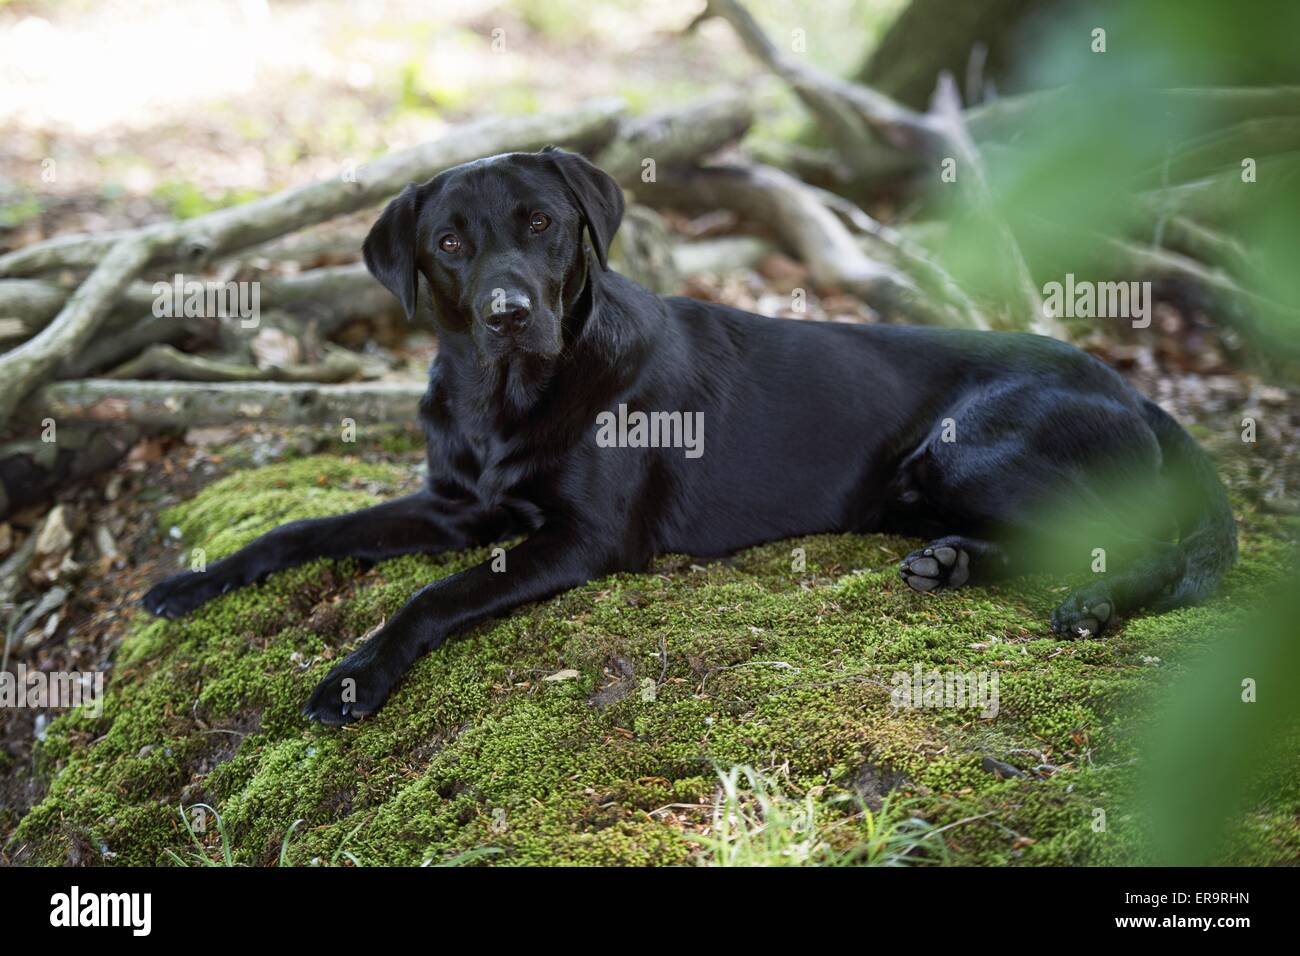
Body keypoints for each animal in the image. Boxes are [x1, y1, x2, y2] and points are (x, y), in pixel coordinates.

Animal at [142, 145, 1237, 723]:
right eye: (449, 242)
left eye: (540, 223)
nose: (506, 313)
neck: (507, 396)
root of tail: (1136, 389)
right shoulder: (455, 505)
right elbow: (304, 530)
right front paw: (195, 579)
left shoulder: (578, 538)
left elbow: (432, 592)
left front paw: (354, 675)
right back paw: (951, 562)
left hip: (968, 444)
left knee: (1134, 540)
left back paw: (1092, 603)